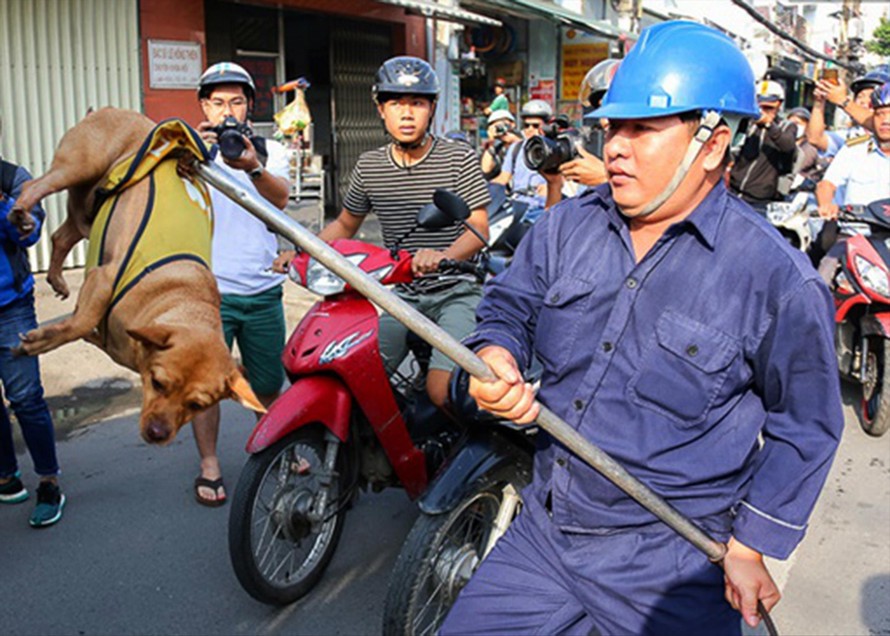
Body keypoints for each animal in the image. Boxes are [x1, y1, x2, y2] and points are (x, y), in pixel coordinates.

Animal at [10, 107, 262, 444]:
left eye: (196, 405)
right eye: (158, 383)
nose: (158, 433)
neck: (180, 298)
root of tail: (118, 110)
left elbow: (84, 327)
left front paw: (49, 336)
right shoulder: (103, 278)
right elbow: (82, 321)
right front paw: (37, 342)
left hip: (87, 212)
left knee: (60, 236)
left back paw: (56, 277)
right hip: (78, 166)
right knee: (34, 187)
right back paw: (21, 213)